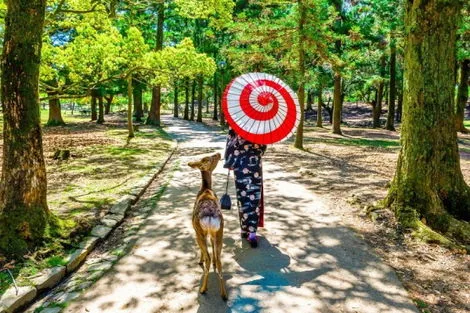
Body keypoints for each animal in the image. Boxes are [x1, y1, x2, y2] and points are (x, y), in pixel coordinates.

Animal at [187, 152, 228, 298]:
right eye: (211, 157)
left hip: (199, 232)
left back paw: (203, 289)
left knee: (208, 259)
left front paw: (200, 259)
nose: (219, 153)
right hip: (220, 230)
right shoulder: (212, 233)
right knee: (220, 260)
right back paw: (224, 294)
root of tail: (210, 216)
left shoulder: (198, 232)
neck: (205, 190)